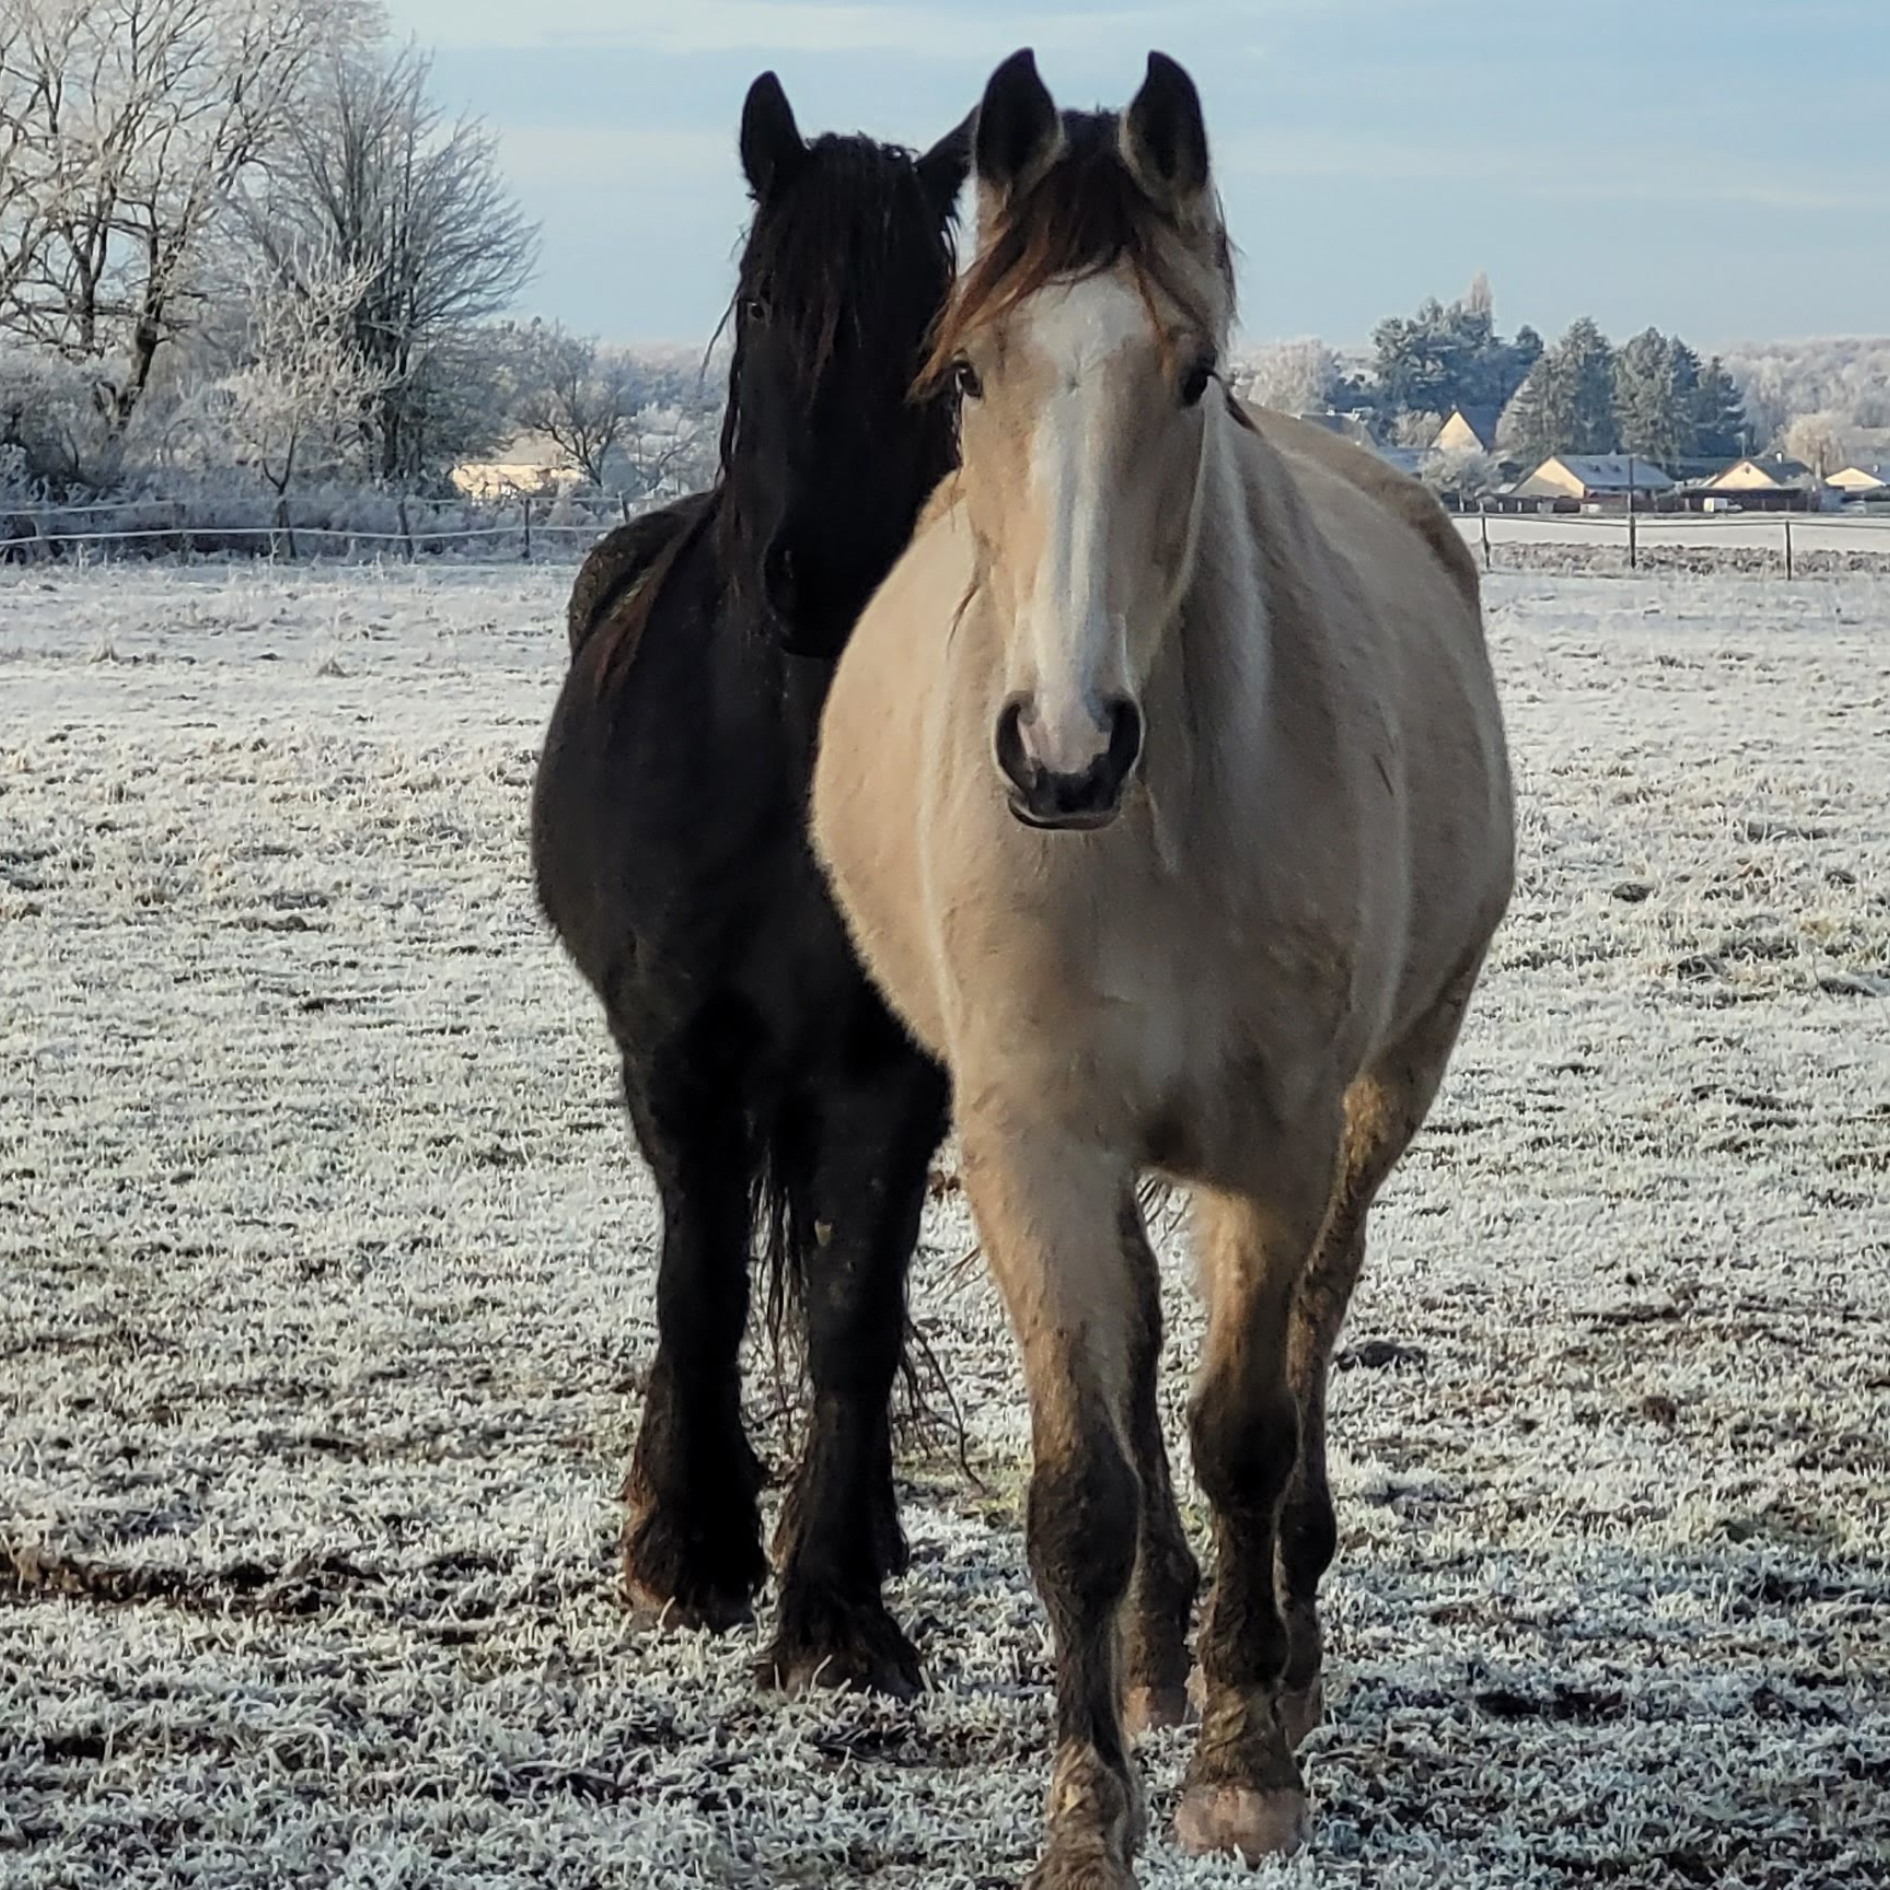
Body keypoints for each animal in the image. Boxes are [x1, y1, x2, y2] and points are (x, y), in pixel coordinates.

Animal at [529, 73, 969, 1698]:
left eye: (935, 330)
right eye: (769, 299)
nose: (821, 578)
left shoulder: (898, 1074)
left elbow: (851, 1310)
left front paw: (835, 1599)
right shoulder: (674, 1053)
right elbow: (699, 1282)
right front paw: (691, 1547)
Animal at [811, 49, 1515, 1886]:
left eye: (1190, 374)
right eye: (969, 370)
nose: (1063, 751)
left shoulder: (1272, 1139)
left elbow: (1242, 1433)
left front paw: (1244, 1762)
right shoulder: (1031, 1142)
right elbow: (1084, 1481)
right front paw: (1088, 1801)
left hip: (1379, 1093)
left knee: (1307, 1333)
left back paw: (1279, 1651)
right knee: (1131, 1368)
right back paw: (1150, 1651)